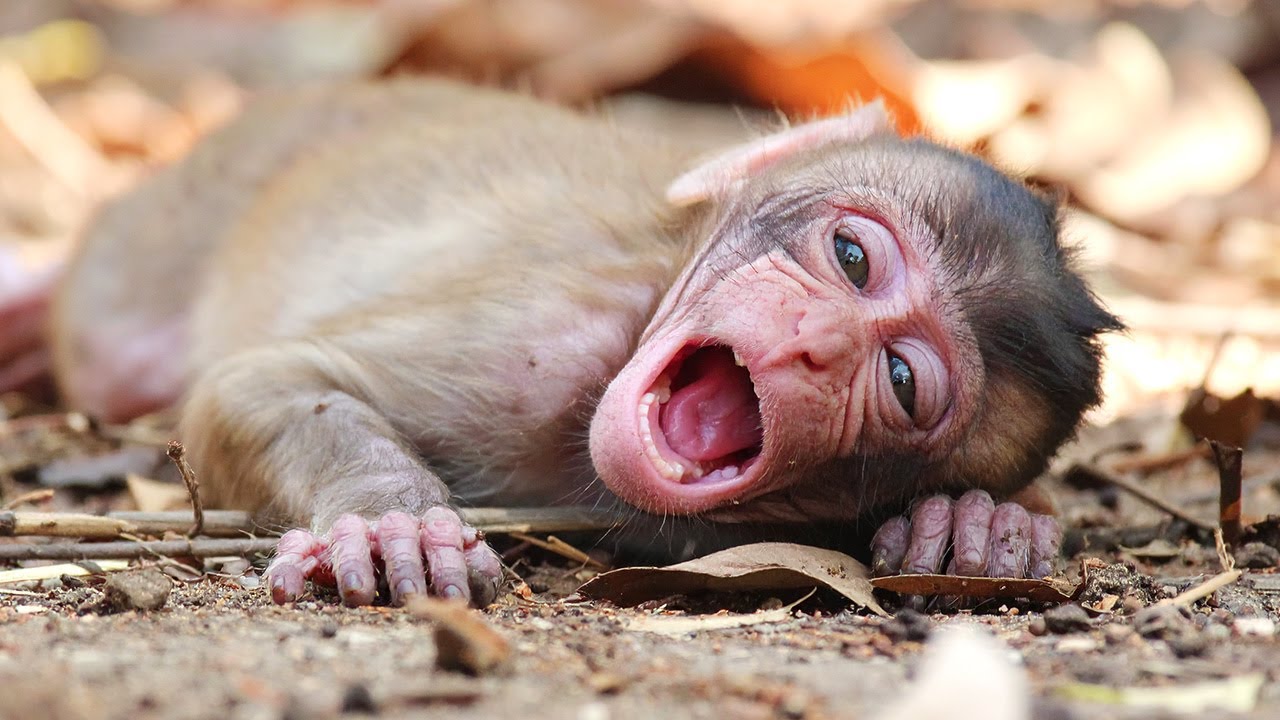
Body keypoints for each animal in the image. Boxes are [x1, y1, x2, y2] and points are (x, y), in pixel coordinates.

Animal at [0, 78, 1121, 607]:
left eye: (898, 379)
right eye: (850, 259)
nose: (818, 345)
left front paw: (976, 524)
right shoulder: (535, 340)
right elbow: (261, 378)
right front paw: (391, 524)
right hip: (165, 231)